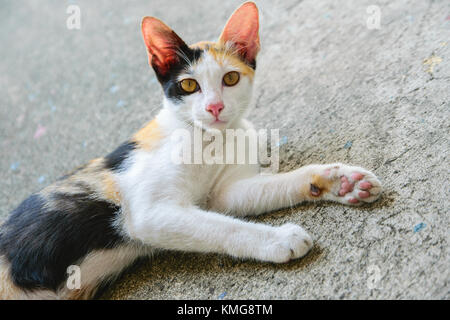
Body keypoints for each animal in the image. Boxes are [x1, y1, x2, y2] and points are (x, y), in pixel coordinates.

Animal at [0, 1, 384, 298]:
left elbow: (260, 191)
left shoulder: (222, 194)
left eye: (231, 78)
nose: (214, 107)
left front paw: (340, 182)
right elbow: (222, 227)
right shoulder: (149, 212)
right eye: (188, 85)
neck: (210, 139)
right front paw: (279, 239)